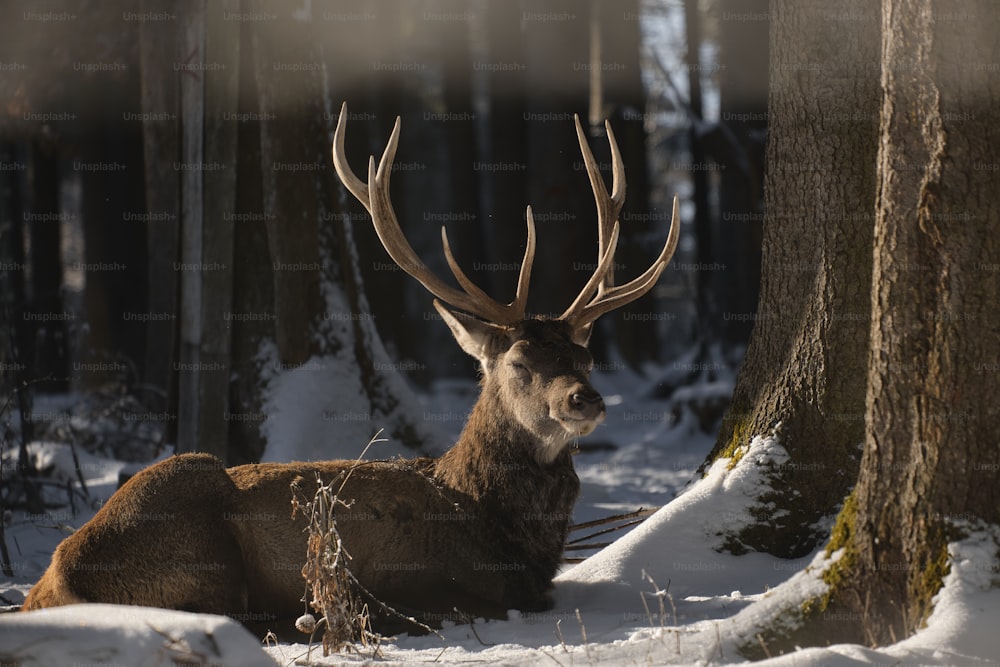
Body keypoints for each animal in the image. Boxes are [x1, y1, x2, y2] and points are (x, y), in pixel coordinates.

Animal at [21, 102, 680, 636]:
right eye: (519, 360)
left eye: (583, 356)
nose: (585, 400)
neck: (488, 521)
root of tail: (50, 580)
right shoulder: (417, 574)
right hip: (193, 522)